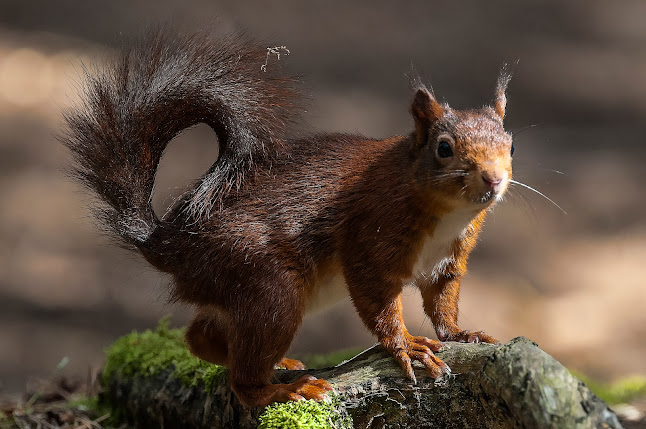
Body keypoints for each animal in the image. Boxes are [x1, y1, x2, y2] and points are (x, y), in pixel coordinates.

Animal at [62, 29, 516, 404]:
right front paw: (407, 344)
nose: (493, 178)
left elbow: (442, 302)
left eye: (510, 144)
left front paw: (461, 333)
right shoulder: (372, 235)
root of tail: (170, 244)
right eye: (444, 148)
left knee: (200, 336)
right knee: (242, 379)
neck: (448, 214)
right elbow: (378, 300)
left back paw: (276, 364)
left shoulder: (447, 262)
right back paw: (281, 388)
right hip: (269, 288)